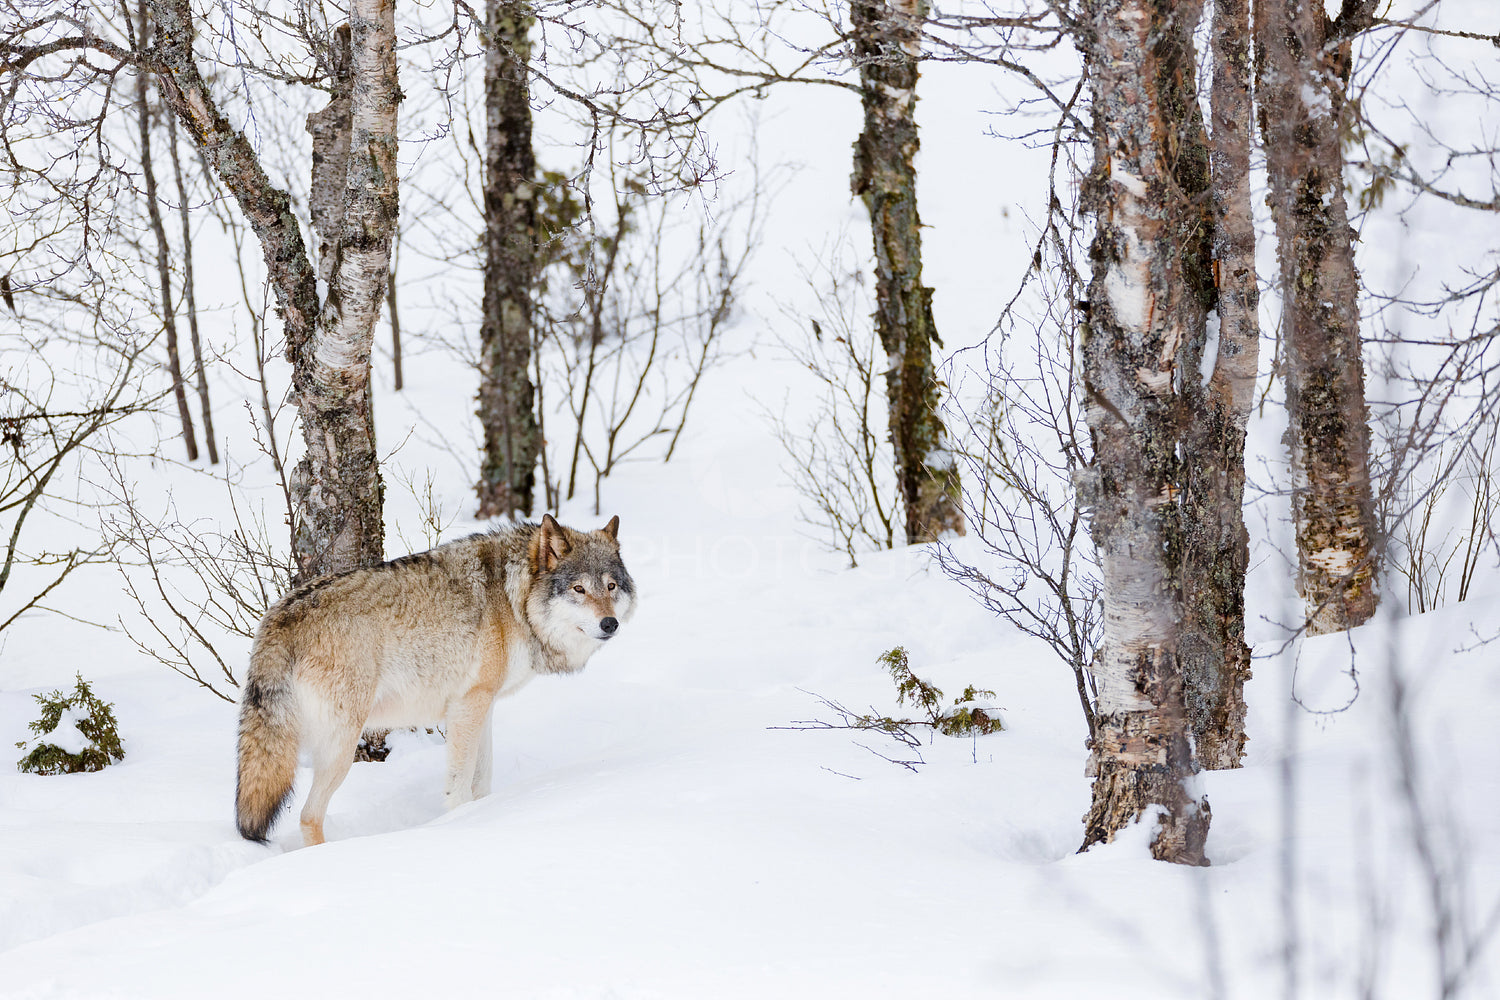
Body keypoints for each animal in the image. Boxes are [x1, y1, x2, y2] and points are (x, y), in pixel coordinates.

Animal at [235, 512, 633, 851]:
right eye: (579, 589)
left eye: (611, 586)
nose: (610, 624)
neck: (512, 598)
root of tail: (277, 617)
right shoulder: (469, 705)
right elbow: (459, 786)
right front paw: (461, 823)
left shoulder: (480, 704)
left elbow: (482, 779)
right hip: (341, 748)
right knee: (308, 815)